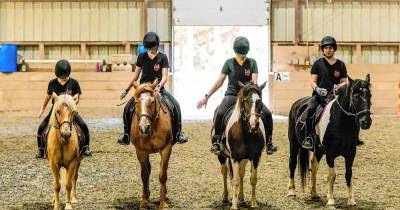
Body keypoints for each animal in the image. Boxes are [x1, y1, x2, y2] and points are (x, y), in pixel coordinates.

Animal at [130, 80, 173, 208]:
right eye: (136, 102)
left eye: (153, 101)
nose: (144, 128)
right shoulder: (140, 150)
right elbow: (144, 175)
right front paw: (144, 202)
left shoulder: (166, 148)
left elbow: (163, 175)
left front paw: (163, 204)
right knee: (147, 170)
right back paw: (146, 196)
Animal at [214, 82, 268, 210]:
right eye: (245, 101)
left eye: (260, 101)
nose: (254, 124)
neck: (247, 133)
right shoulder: (235, 157)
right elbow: (235, 181)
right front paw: (234, 205)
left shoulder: (256, 157)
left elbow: (253, 179)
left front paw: (254, 203)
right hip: (222, 156)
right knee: (225, 171)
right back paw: (225, 197)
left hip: (244, 159)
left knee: (241, 173)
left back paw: (242, 198)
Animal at [288, 74, 372, 207]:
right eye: (356, 96)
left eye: (369, 95)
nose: (366, 122)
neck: (341, 122)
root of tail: (298, 103)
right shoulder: (330, 153)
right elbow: (332, 175)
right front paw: (331, 200)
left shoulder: (351, 153)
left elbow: (348, 174)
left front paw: (351, 200)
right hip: (294, 144)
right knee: (292, 164)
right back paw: (291, 191)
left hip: (318, 150)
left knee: (314, 166)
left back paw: (314, 193)